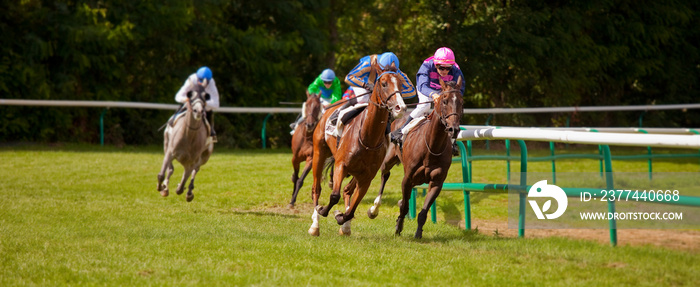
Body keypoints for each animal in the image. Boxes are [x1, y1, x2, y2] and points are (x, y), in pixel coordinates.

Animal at [308, 66, 408, 237]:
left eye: (401, 84)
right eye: (383, 83)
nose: (400, 107)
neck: (368, 138)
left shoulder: (367, 177)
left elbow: (352, 209)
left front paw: (341, 218)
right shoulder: (341, 165)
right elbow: (334, 196)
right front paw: (324, 211)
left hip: (356, 172)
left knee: (347, 190)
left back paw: (345, 226)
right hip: (319, 153)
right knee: (317, 189)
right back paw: (315, 225)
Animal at [366, 76, 464, 238]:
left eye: (461, 102)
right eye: (444, 101)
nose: (453, 129)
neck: (431, 147)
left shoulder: (436, 182)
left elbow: (423, 211)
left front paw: (418, 233)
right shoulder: (407, 178)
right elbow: (405, 206)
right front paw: (398, 227)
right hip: (388, 160)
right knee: (384, 175)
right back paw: (375, 208)